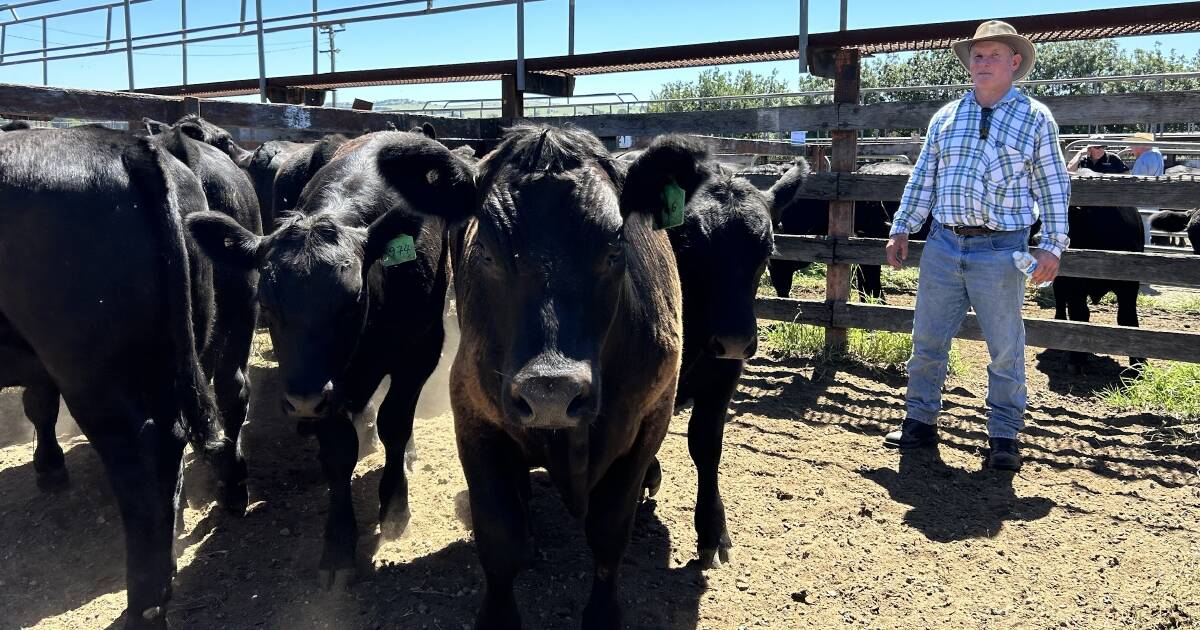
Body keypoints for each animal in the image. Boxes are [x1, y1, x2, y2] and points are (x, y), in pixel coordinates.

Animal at [0, 125, 244, 624]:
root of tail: (130, 147)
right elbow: (38, 404)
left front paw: (49, 467)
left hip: (91, 374)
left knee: (139, 468)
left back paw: (145, 606)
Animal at [184, 131, 470, 585]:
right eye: (268, 303)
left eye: (352, 301)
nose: (303, 403)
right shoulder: (325, 389)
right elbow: (339, 452)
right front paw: (337, 543)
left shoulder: (420, 351)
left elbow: (395, 423)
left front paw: (395, 506)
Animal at [446, 125, 700, 624]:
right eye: (484, 249)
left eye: (615, 245)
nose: (550, 391)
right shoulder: (469, 409)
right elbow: (499, 537)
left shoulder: (653, 413)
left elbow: (609, 529)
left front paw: (602, 613)